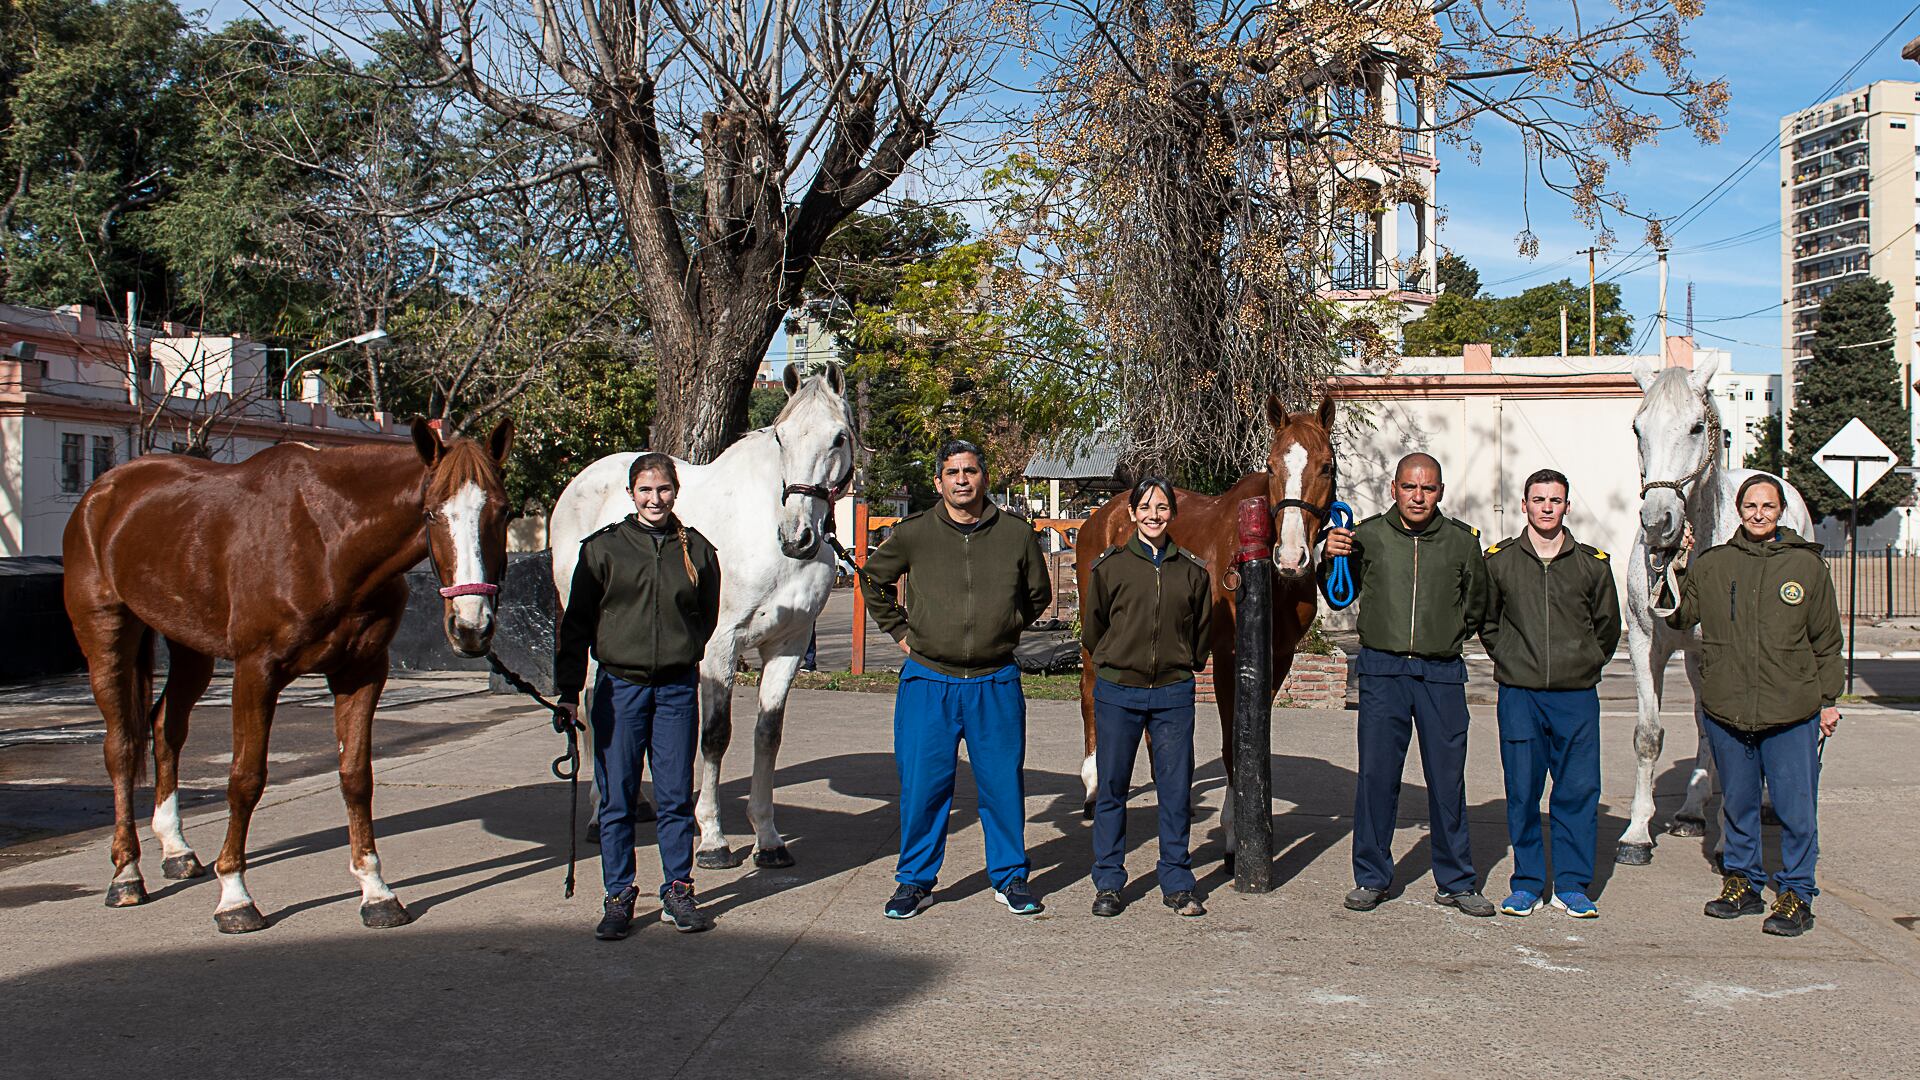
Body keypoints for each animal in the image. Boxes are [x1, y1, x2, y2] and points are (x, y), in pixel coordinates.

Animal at [62, 417, 514, 930]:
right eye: (433, 513)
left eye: (504, 512)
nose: (471, 626)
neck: (326, 539)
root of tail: (103, 494)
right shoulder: (256, 672)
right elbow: (245, 779)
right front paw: (235, 896)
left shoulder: (361, 672)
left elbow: (356, 777)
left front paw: (375, 891)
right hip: (106, 634)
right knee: (121, 746)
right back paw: (126, 874)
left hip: (190, 645)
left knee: (165, 728)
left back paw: (175, 849)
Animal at [556, 361, 856, 864]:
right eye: (781, 437)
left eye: (838, 437)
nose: (797, 537)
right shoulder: (720, 646)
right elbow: (715, 735)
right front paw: (713, 838)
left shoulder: (789, 645)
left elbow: (767, 735)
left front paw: (768, 839)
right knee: (593, 709)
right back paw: (600, 815)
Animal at [1075, 395, 1344, 864]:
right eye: (1271, 465)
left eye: (1327, 466)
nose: (1291, 557)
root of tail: (1100, 515)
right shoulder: (1228, 656)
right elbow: (1233, 740)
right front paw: (1236, 835)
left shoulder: (1278, 658)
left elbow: (1255, 737)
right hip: (1096, 631)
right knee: (1090, 689)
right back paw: (1092, 787)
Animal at [1620, 357, 1812, 860]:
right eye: (1637, 428)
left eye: (1696, 426)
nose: (1657, 523)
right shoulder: (1646, 645)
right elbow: (1648, 735)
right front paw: (1636, 833)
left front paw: (1731, 842)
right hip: (1697, 660)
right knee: (1705, 723)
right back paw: (1690, 812)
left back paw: (1760, 807)